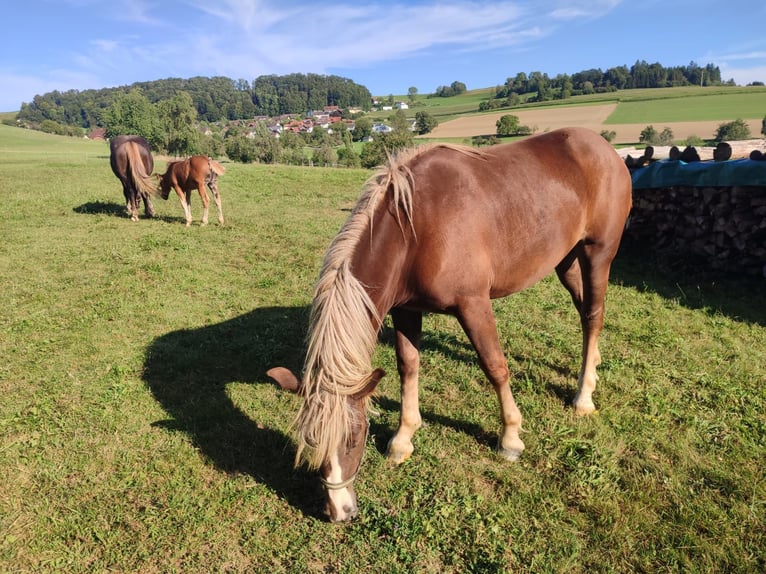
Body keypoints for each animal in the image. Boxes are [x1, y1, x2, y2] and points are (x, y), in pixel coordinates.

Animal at [268, 128, 632, 524]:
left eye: (353, 438)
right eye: (310, 441)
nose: (340, 511)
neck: (415, 228)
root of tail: (605, 148)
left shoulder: (473, 304)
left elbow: (495, 366)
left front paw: (511, 438)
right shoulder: (406, 309)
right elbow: (408, 366)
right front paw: (403, 440)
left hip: (598, 252)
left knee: (593, 314)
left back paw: (583, 396)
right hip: (565, 259)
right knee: (584, 312)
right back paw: (592, 369)